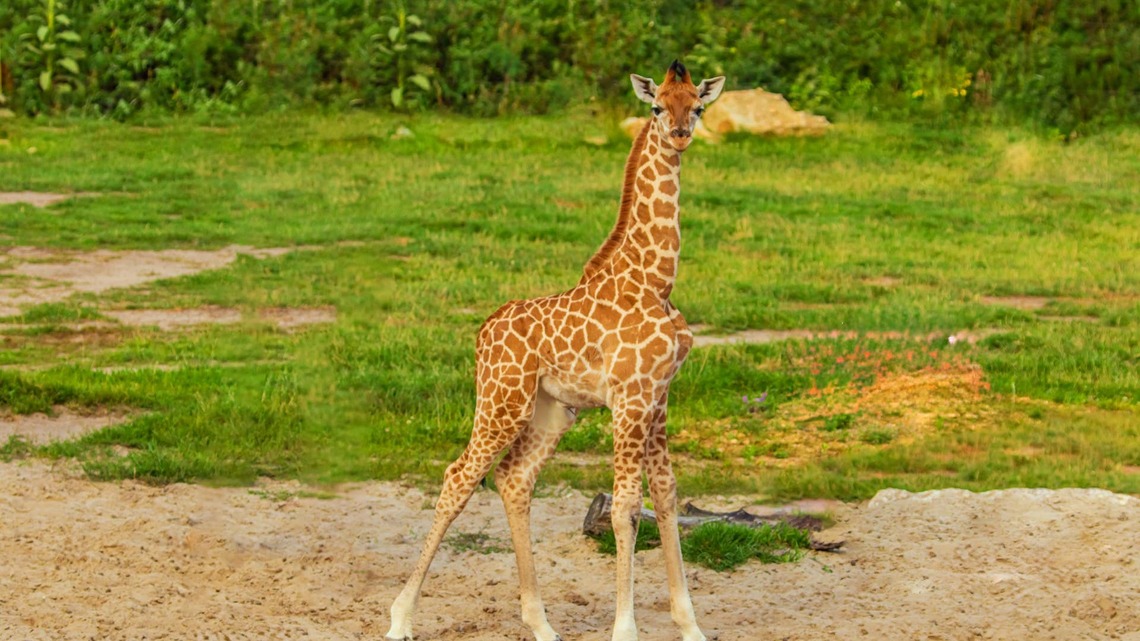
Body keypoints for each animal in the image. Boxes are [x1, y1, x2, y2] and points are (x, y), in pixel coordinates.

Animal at [385, 60, 726, 641]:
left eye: (698, 106)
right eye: (658, 105)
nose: (681, 134)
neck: (657, 281)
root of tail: (481, 334)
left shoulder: (658, 397)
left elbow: (666, 494)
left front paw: (691, 626)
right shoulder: (630, 399)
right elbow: (626, 506)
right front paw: (625, 629)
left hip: (551, 410)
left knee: (514, 478)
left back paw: (540, 623)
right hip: (501, 402)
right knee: (459, 476)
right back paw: (400, 618)